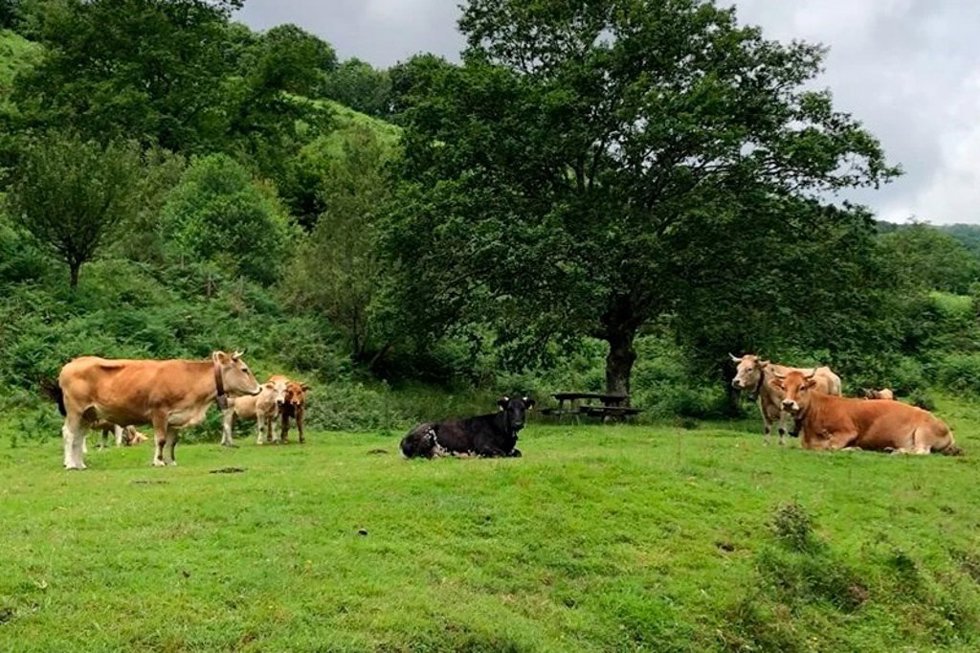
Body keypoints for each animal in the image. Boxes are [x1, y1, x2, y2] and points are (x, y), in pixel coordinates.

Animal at [54, 351, 261, 469]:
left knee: (79, 436)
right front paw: (159, 461)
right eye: (244, 369)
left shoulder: (176, 418)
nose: (259, 388)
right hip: (75, 410)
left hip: (88, 413)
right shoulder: (159, 412)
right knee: (69, 433)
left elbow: (172, 442)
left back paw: (80, 463)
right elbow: (160, 440)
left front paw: (171, 461)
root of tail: (70, 364)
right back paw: (70, 464)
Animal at [400, 396, 535, 459]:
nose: (518, 423)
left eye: (523, 408)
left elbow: (518, 453)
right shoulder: (483, 446)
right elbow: (501, 453)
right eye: (509, 409)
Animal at [773, 370, 961, 455]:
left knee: (922, 451)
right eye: (783, 387)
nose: (788, 403)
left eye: (802, 387)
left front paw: (853, 448)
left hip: (923, 433)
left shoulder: (848, 431)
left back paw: (896, 451)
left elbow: (831, 446)